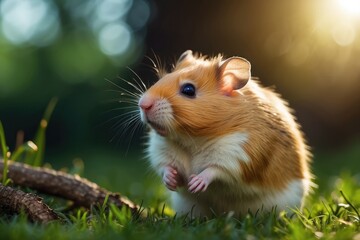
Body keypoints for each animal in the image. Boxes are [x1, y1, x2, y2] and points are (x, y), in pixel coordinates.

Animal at [138, 49, 312, 217]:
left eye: (188, 90)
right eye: (162, 79)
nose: (142, 104)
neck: (191, 139)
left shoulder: (239, 153)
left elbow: (215, 170)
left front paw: (195, 183)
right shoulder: (159, 150)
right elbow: (164, 166)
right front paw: (171, 181)